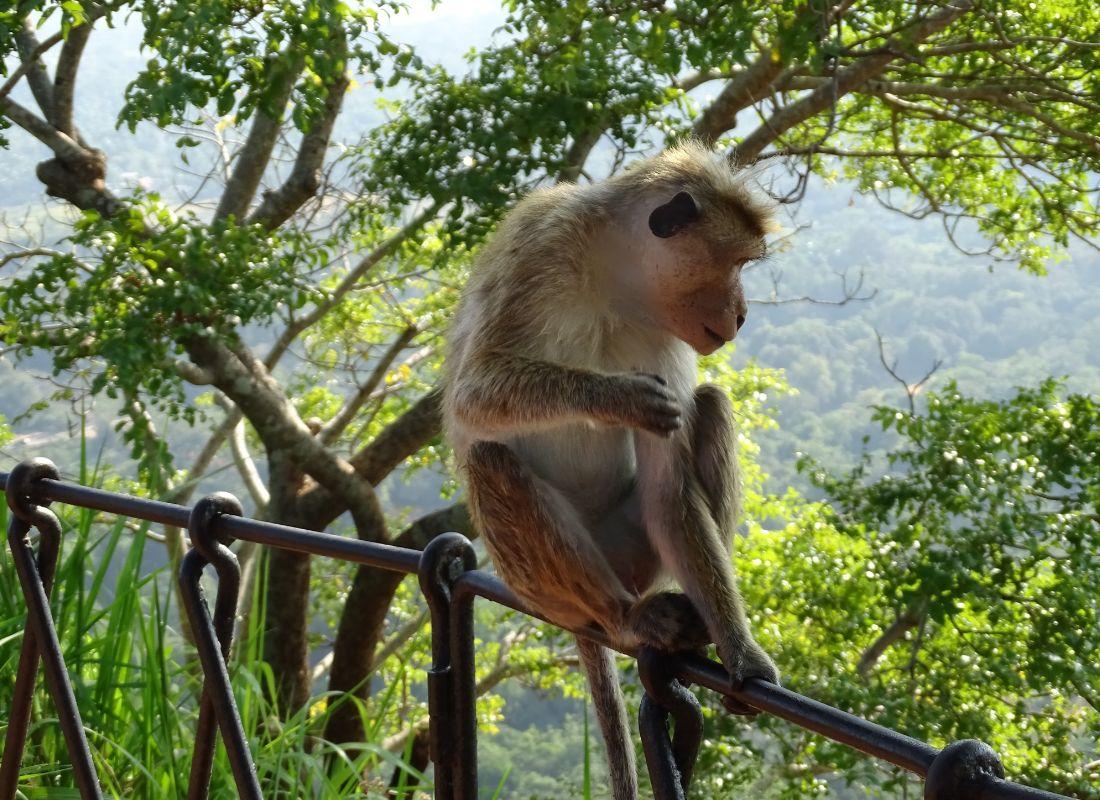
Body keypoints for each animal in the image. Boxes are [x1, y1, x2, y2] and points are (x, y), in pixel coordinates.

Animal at [442, 140, 778, 796]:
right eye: (734, 263)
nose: (743, 314)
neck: (612, 282)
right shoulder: (538, 250)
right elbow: (473, 393)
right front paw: (613, 397)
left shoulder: (664, 338)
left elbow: (669, 490)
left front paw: (743, 655)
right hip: (544, 584)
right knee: (491, 457)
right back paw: (624, 620)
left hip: (636, 548)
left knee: (710, 405)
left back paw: (692, 619)